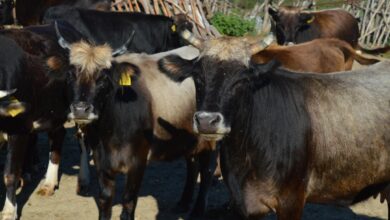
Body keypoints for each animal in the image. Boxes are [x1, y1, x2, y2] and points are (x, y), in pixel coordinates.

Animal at [56, 28, 218, 217]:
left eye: (103, 78)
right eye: (70, 75)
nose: (81, 109)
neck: (110, 132)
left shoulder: (138, 163)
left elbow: (129, 201)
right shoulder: (101, 162)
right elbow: (105, 200)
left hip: (211, 140)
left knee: (206, 172)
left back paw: (198, 210)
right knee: (192, 166)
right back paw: (183, 203)